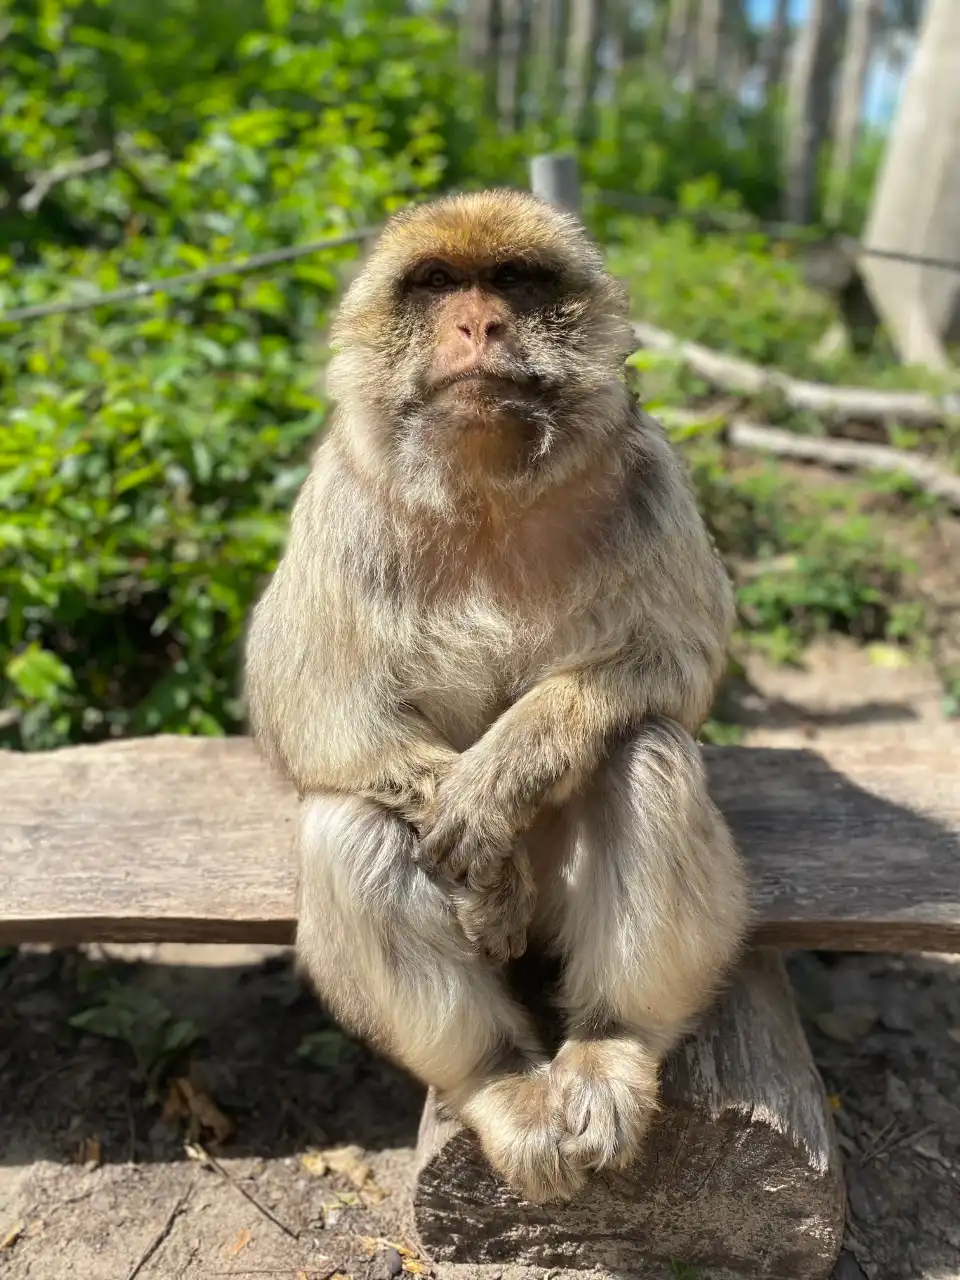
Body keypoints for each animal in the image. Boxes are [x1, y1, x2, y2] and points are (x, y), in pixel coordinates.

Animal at [244, 189, 750, 1205]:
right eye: (438, 283)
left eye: (513, 280)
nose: (479, 325)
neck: (486, 495)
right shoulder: (339, 501)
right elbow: (310, 705)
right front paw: (477, 836)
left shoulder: (650, 477)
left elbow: (676, 659)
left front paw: (494, 786)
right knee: (350, 821)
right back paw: (498, 1078)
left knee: (646, 754)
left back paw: (609, 1046)